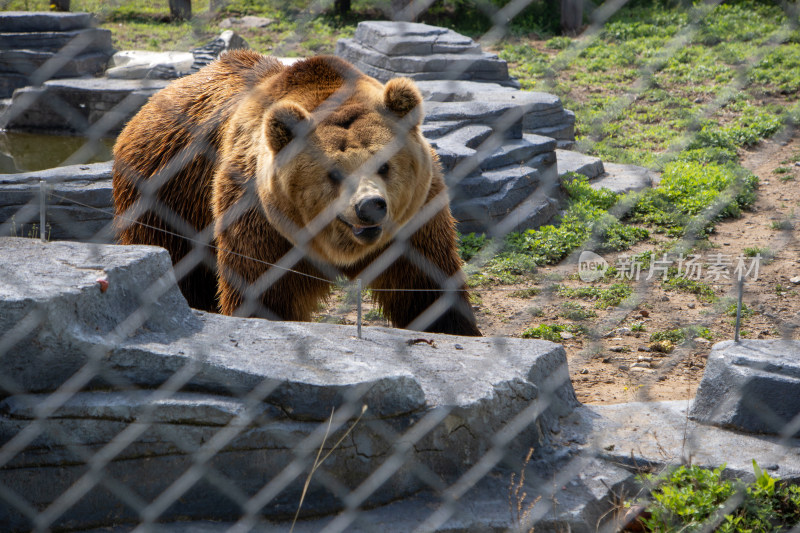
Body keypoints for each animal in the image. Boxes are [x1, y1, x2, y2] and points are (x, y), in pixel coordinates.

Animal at [112, 48, 482, 332]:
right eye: (334, 173)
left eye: (384, 165)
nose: (369, 205)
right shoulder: (262, 221)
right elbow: (264, 294)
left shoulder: (416, 220)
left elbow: (427, 289)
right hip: (168, 194)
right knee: (179, 266)